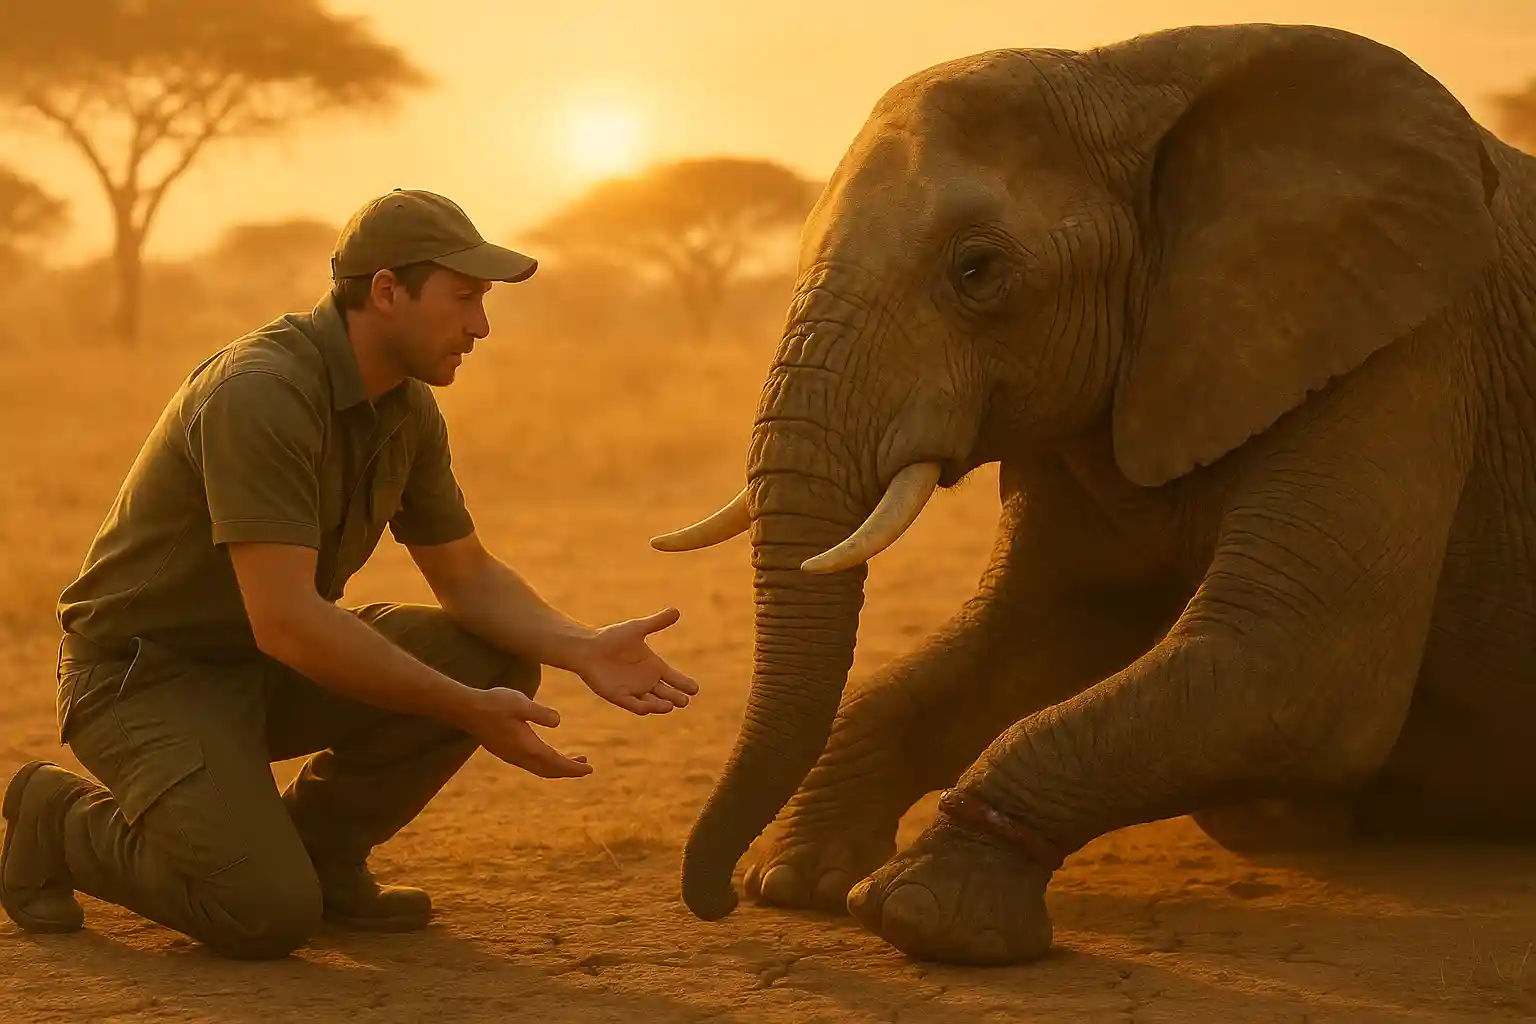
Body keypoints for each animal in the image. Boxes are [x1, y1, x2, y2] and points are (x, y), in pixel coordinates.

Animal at [649, 22, 1536, 966]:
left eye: (977, 271)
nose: (714, 904)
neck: (1127, 73)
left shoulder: (1409, 342)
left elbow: (1304, 663)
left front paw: (924, 917)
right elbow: (1024, 637)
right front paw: (794, 881)